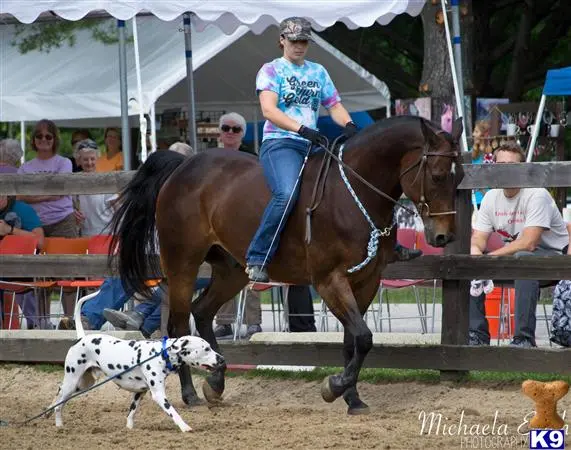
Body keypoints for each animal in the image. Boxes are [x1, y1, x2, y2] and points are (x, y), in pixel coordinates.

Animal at [47, 292, 226, 432]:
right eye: (206, 348)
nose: (222, 359)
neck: (160, 354)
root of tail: (82, 338)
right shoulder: (158, 395)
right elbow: (173, 413)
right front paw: (185, 427)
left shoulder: (140, 392)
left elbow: (131, 413)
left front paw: (129, 429)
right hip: (73, 382)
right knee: (59, 404)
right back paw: (59, 425)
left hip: (82, 384)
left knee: (58, 392)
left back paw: (48, 410)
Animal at [108, 116, 464, 414]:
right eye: (437, 176)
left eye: (459, 177)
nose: (445, 236)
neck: (352, 194)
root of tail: (184, 165)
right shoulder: (329, 280)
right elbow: (363, 337)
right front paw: (334, 387)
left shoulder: (367, 281)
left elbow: (354, 341)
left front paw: (352, 398)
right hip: (183, 263)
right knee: (180, 325)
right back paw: (191, 394)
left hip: (232, 270)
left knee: (203, 311)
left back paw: (216, 383)